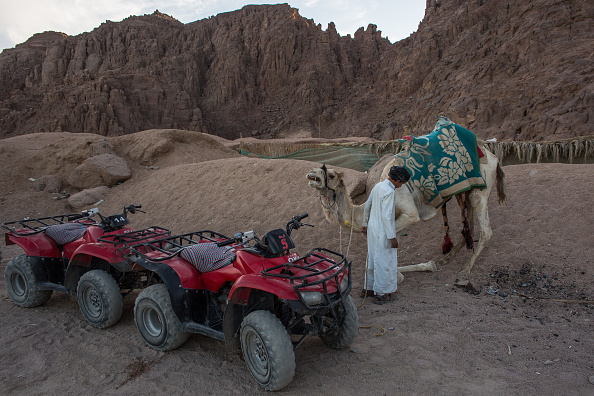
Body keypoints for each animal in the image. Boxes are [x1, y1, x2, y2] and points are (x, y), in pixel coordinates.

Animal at [306, 139, 504, 278]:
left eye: (331, 175)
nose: (311, 174)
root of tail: (493, 156)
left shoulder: (409, 214)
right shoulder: (394, 218)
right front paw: (425, 265)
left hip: (481, 187)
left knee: (485, 230)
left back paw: (466, 268)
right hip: (463, 192)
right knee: (468, 225)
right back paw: (445, 258)